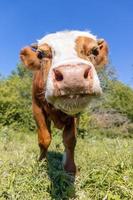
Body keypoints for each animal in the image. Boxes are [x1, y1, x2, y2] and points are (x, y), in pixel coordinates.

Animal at [20, 30, 108, 176]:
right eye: (40, 54)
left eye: (94, 50)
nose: (73, 76)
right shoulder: (36, 107)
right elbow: (44, 139)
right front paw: (41, 162)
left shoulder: (76, 114)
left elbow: (70, 140)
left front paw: (70, 168)